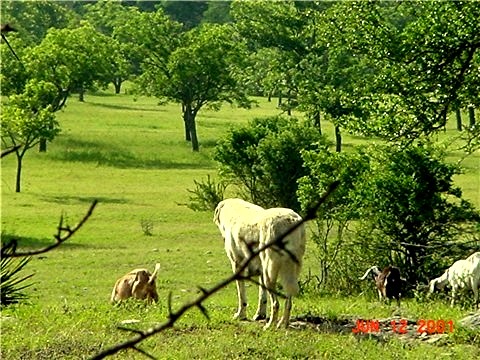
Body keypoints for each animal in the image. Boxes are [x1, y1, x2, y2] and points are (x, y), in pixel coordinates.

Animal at [213, 198, 306, 330]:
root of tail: (291, 220)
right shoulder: (261, 270)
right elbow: (262, 297)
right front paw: (259, 315)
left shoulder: (237, 265)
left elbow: (241, 295)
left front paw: (240, 315)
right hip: (289, 272)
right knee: (288, 302)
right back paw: (283, 324)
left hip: (270, 273)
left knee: (276, 303)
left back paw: (270, 325)